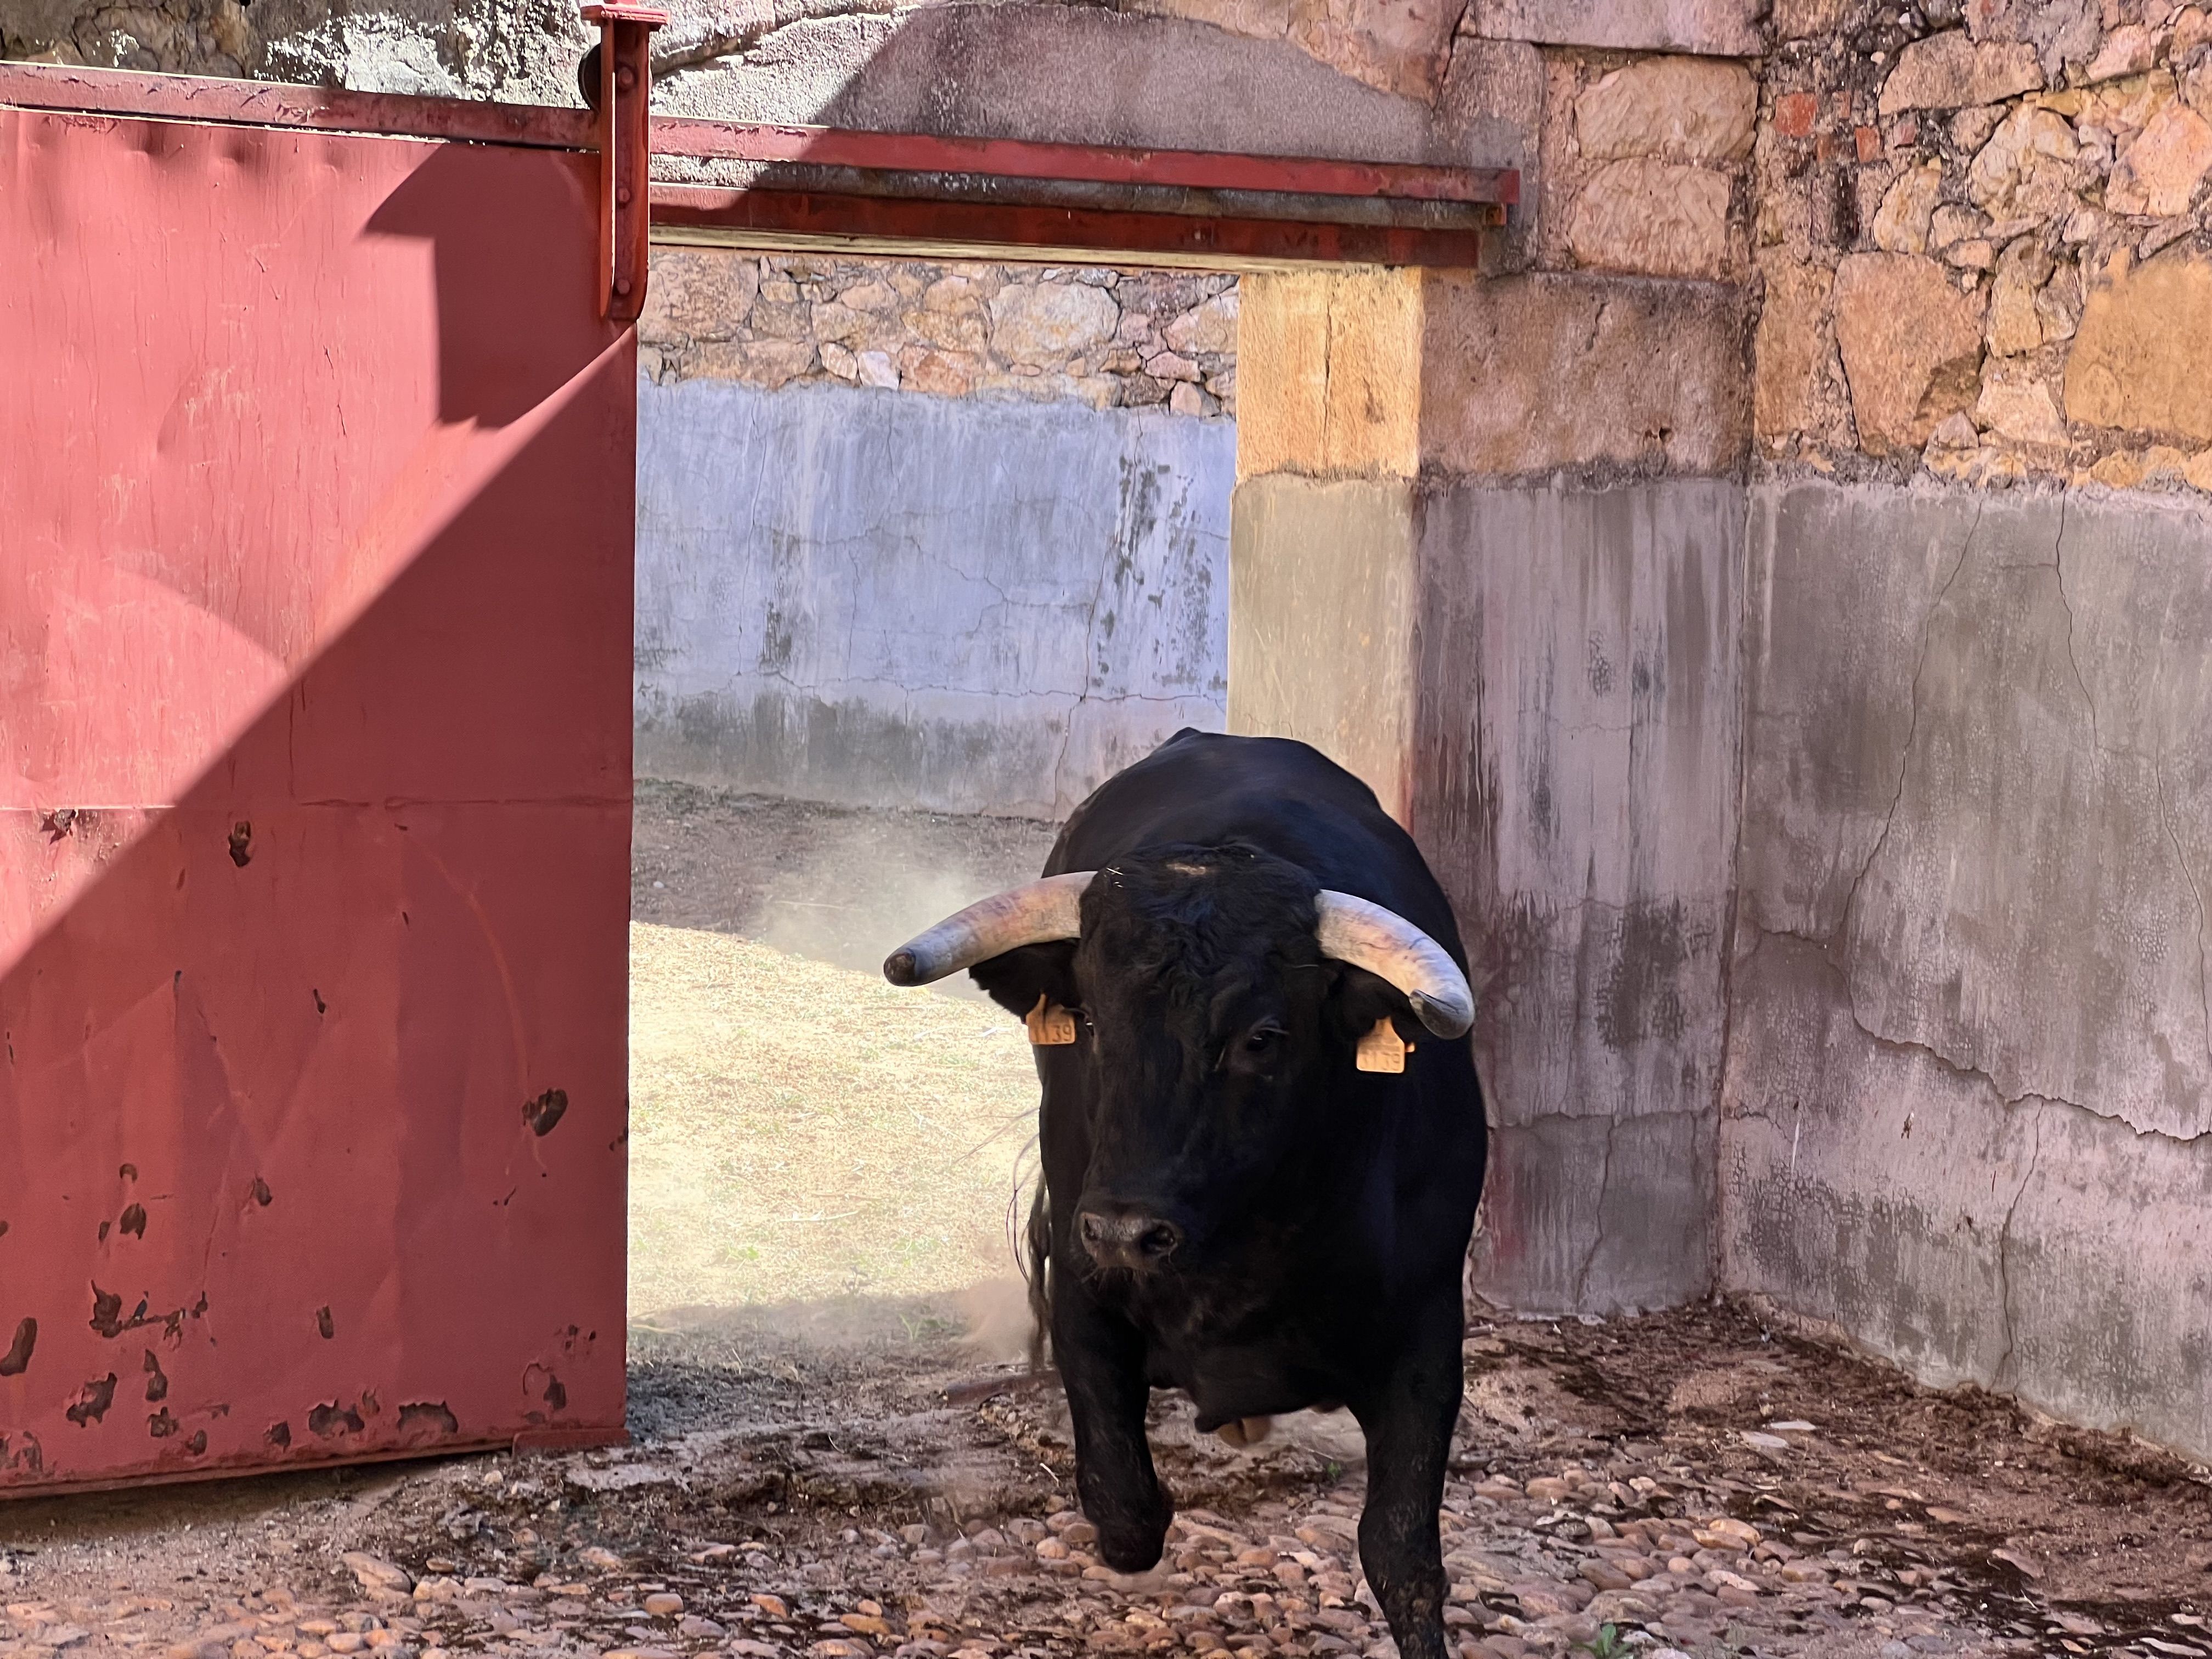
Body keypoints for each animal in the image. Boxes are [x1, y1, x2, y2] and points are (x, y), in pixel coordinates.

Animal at [880, 738, 1486, 1659]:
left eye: (1262, 1038)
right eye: (1091, 1023)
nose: (1127, 1231)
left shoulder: (1426, 1328)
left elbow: (1402, 1553)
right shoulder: (1082, 1289)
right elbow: (1127, 1512)